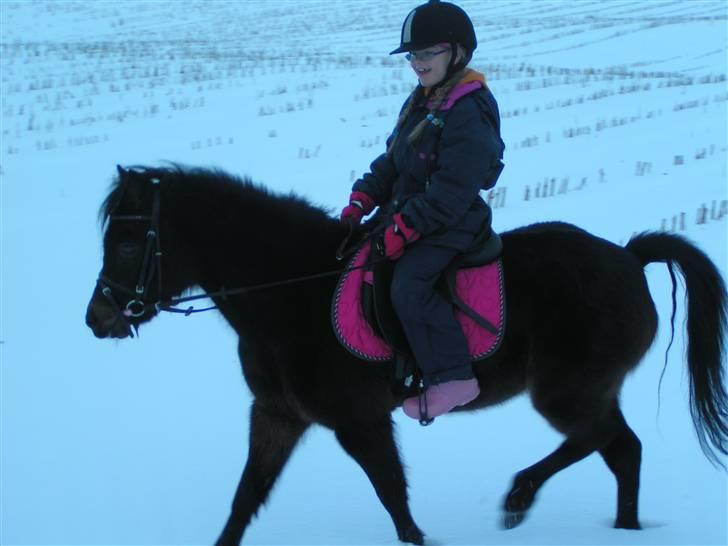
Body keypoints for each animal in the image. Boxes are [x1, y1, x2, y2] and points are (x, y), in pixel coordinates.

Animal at [85, 164, 728, 546]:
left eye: (127, 243)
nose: (97, 318)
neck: (293, 291)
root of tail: (629, 257)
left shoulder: (359, 422)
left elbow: (394, 498)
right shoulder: (276, 415)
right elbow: (245, 498)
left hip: (567, 390)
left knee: (604, 441)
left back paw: (519, 496)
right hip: (589, 388)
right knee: (621, 450)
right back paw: (619, 526)